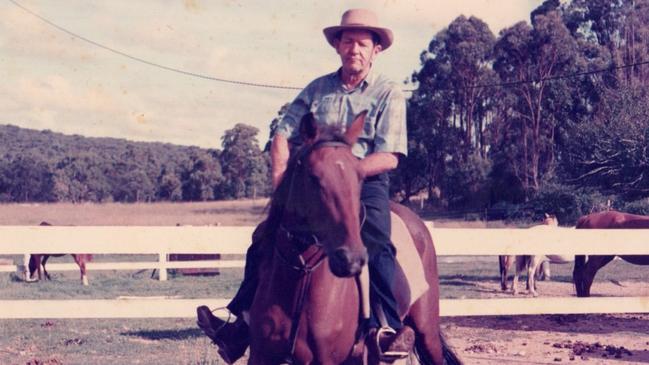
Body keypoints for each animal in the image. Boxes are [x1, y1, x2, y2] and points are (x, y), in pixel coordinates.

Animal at [249, 111, 460, 364]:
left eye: (359, 177)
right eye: (313, 177)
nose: (350, 259)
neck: (302, 275)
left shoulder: (327, 360)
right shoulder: (260, 354)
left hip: (427, 332)